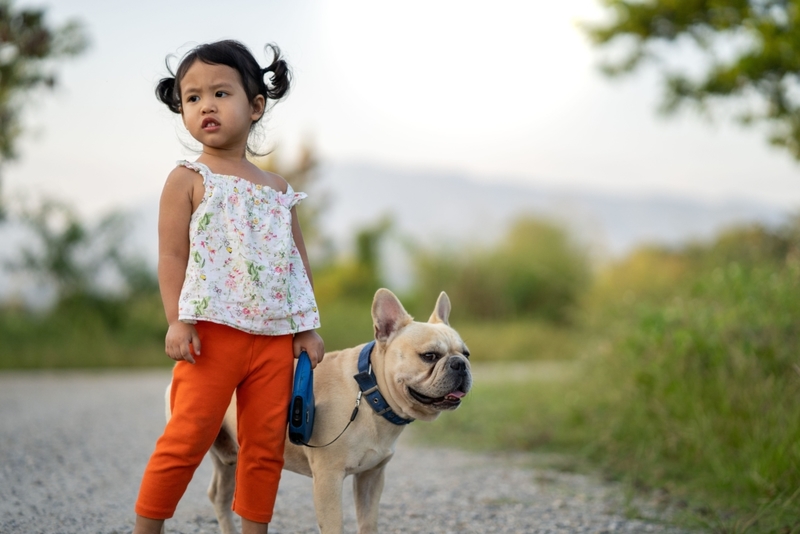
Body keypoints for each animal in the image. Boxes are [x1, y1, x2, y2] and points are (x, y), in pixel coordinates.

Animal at [166, 292, 472, 532]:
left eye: (466, 353)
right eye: (429, 356)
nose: (460, 364)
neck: (369, 393)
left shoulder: (371, 477)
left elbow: (368, 522)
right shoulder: (328, 478)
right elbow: (335, 525)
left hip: (230, 455)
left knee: (220, 494)